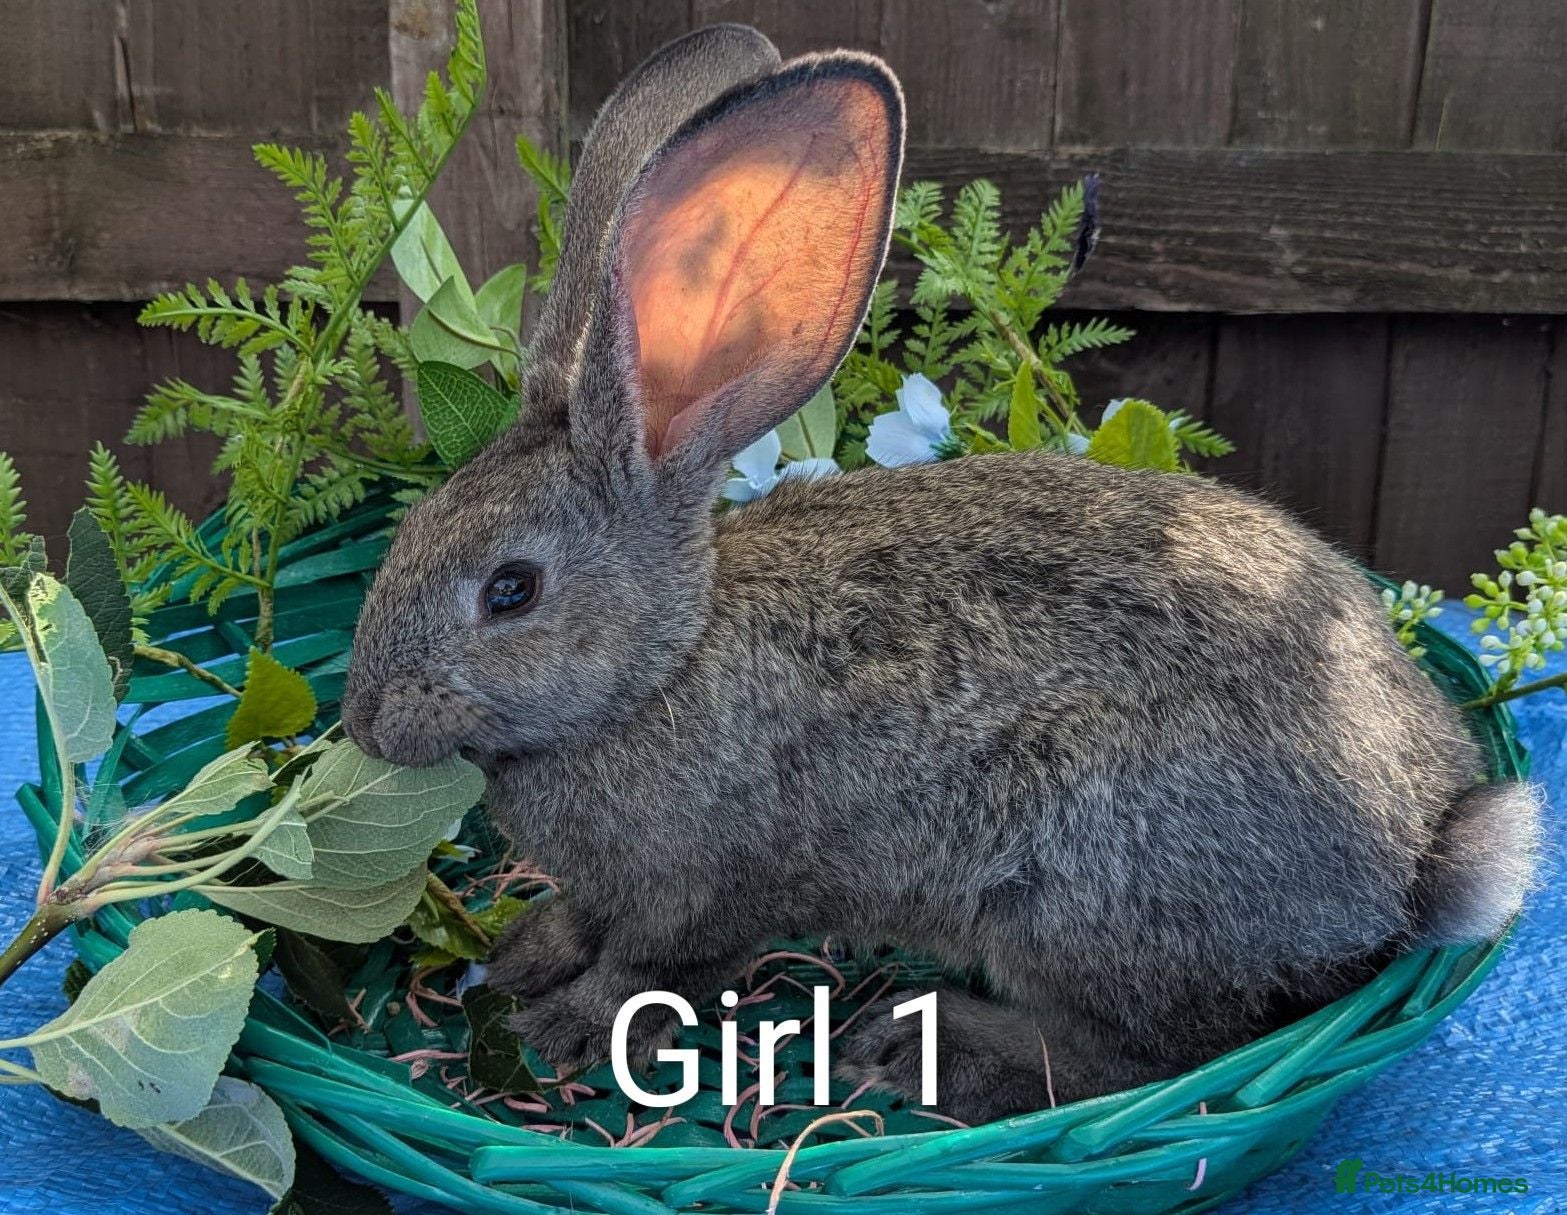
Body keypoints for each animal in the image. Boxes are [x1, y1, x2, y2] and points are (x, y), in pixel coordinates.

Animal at [341, 24, 1540, 1124]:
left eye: (511, 590)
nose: (366, 723)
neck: (660, 665)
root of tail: (1420, 848)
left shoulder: (703, 891)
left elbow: (651, 977)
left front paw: (563, 1028)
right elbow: (580, 925)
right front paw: (519, 957)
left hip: (1080, 896)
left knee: (1147, 1057)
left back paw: (924, 1049)